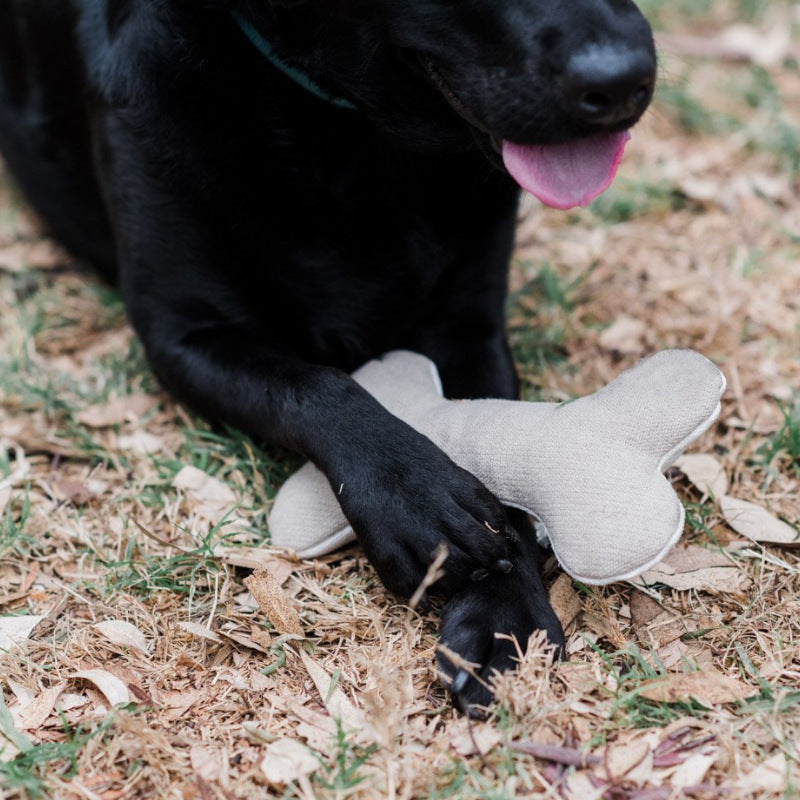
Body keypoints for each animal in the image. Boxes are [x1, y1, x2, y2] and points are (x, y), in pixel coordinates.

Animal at [0, 0, 656, 712]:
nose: (626, 80)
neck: (346, 125)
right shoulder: (184, 333)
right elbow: (316, 385)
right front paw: (414, 497)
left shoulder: (465, 327)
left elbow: (502, 455)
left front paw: (502, 614)